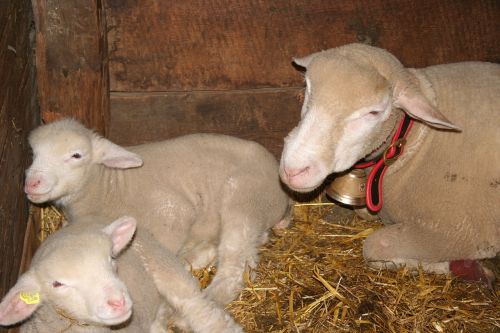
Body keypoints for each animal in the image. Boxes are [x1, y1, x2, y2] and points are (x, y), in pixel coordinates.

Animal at [280, 42, 498, 276]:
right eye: (308, 88)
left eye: (374, 112)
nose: (294, 169)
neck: (414, 139)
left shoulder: (459, 232)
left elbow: (374, 247)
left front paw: (463, 268)